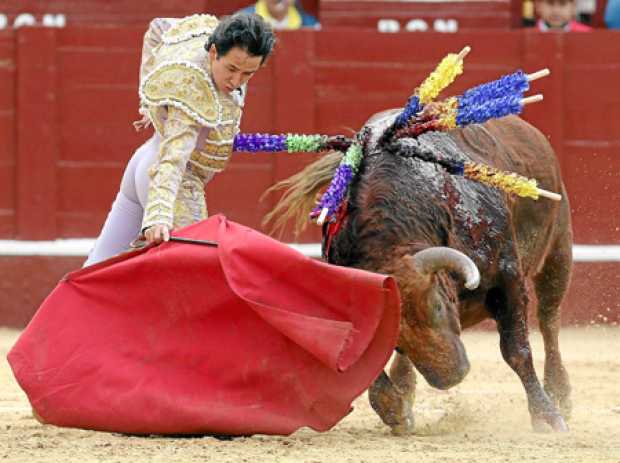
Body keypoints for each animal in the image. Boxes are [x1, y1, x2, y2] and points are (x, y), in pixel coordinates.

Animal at [266, 111, 572, 436]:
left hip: (558, 251)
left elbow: (516, 349)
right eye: (393, 338)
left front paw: (547, 417)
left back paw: (560, 394)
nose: (451, 376)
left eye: (437, 307)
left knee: (549, 321)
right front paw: (396, 410)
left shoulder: (508, 280)